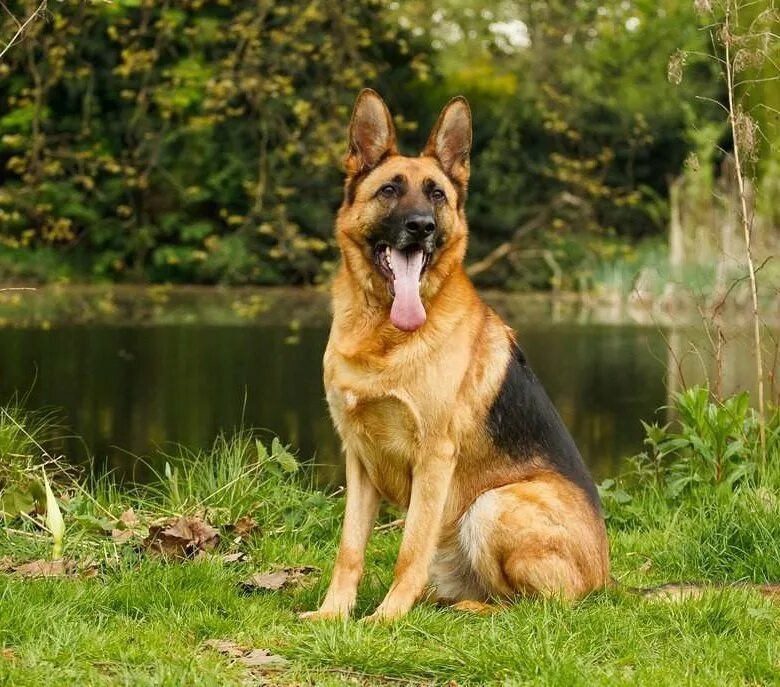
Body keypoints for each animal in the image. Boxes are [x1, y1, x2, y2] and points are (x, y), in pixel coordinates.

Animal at [302, 90, 612, 624]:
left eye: (437, 195)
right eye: (389, 190)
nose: (421, 227)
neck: (384, 332)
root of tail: (608, 582)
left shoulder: (434, 458)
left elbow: (410, 549)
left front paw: (385, 618)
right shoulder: (358, 459)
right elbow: (349, 549)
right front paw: (333, 614)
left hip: (492, 506)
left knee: (534, 606)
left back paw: (467, 608)